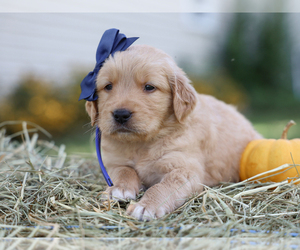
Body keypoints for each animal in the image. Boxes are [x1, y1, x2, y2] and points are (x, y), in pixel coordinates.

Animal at [85, 44, 262, 220]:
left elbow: (164, 186)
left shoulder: (185, 170)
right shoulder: (114, 162)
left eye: (149, 87)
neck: (143, 143)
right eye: (108, 86)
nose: (120, 114)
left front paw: (146, 206)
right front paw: (118, 189)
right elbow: (124, 171)